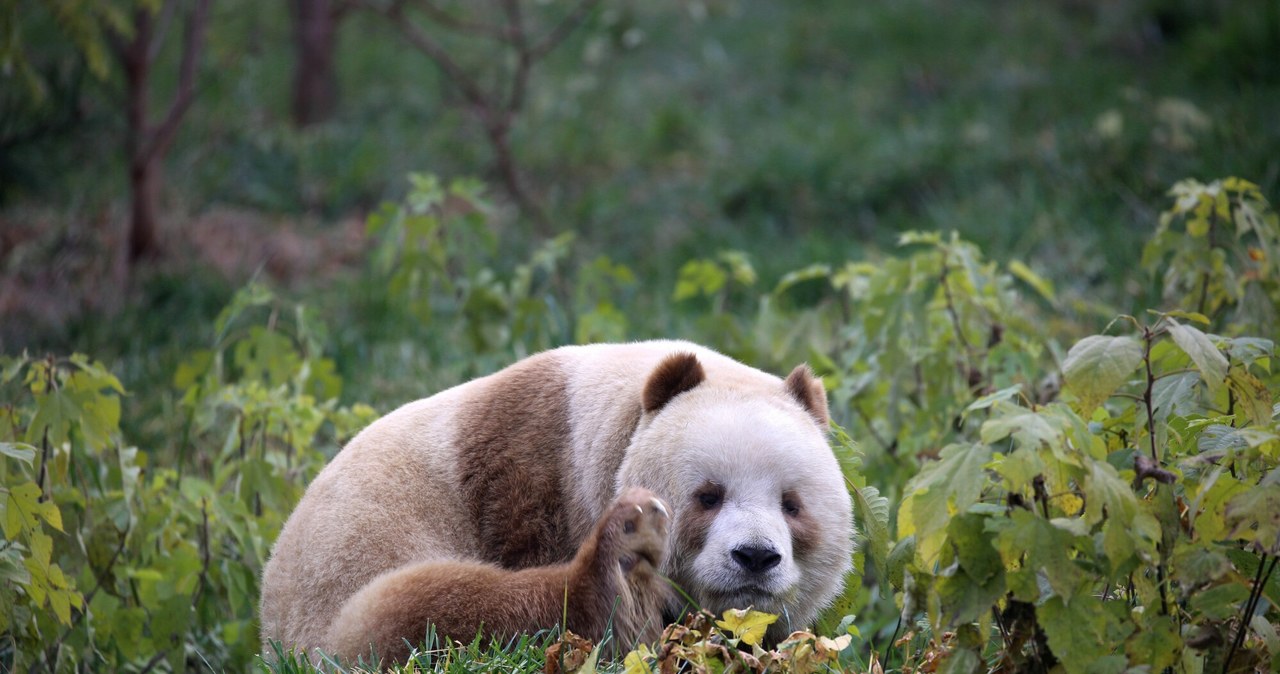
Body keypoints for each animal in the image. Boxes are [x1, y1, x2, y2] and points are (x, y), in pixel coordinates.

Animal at [259, 342, 855, 665]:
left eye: (791, 505)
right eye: (708, 496)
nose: (755, 557)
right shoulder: (531, 474)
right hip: (341, 597)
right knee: (427, 613)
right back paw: (615, 576)